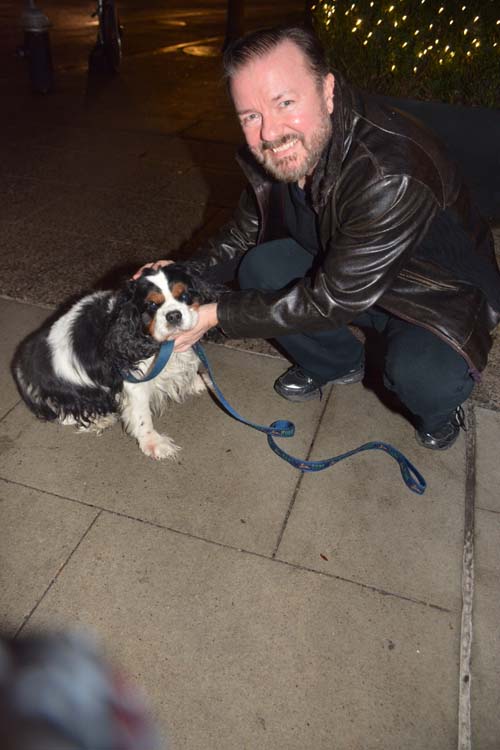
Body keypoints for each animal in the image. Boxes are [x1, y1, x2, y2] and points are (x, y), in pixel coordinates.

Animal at [12, 268, 216, 462]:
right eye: (151, 304)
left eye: (184, 295)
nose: (173, 315)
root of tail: (21, 368)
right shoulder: (134, 380)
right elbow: (142, 415)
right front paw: (153, 443)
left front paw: (197, 381)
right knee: (64, 414)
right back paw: (100, 420)